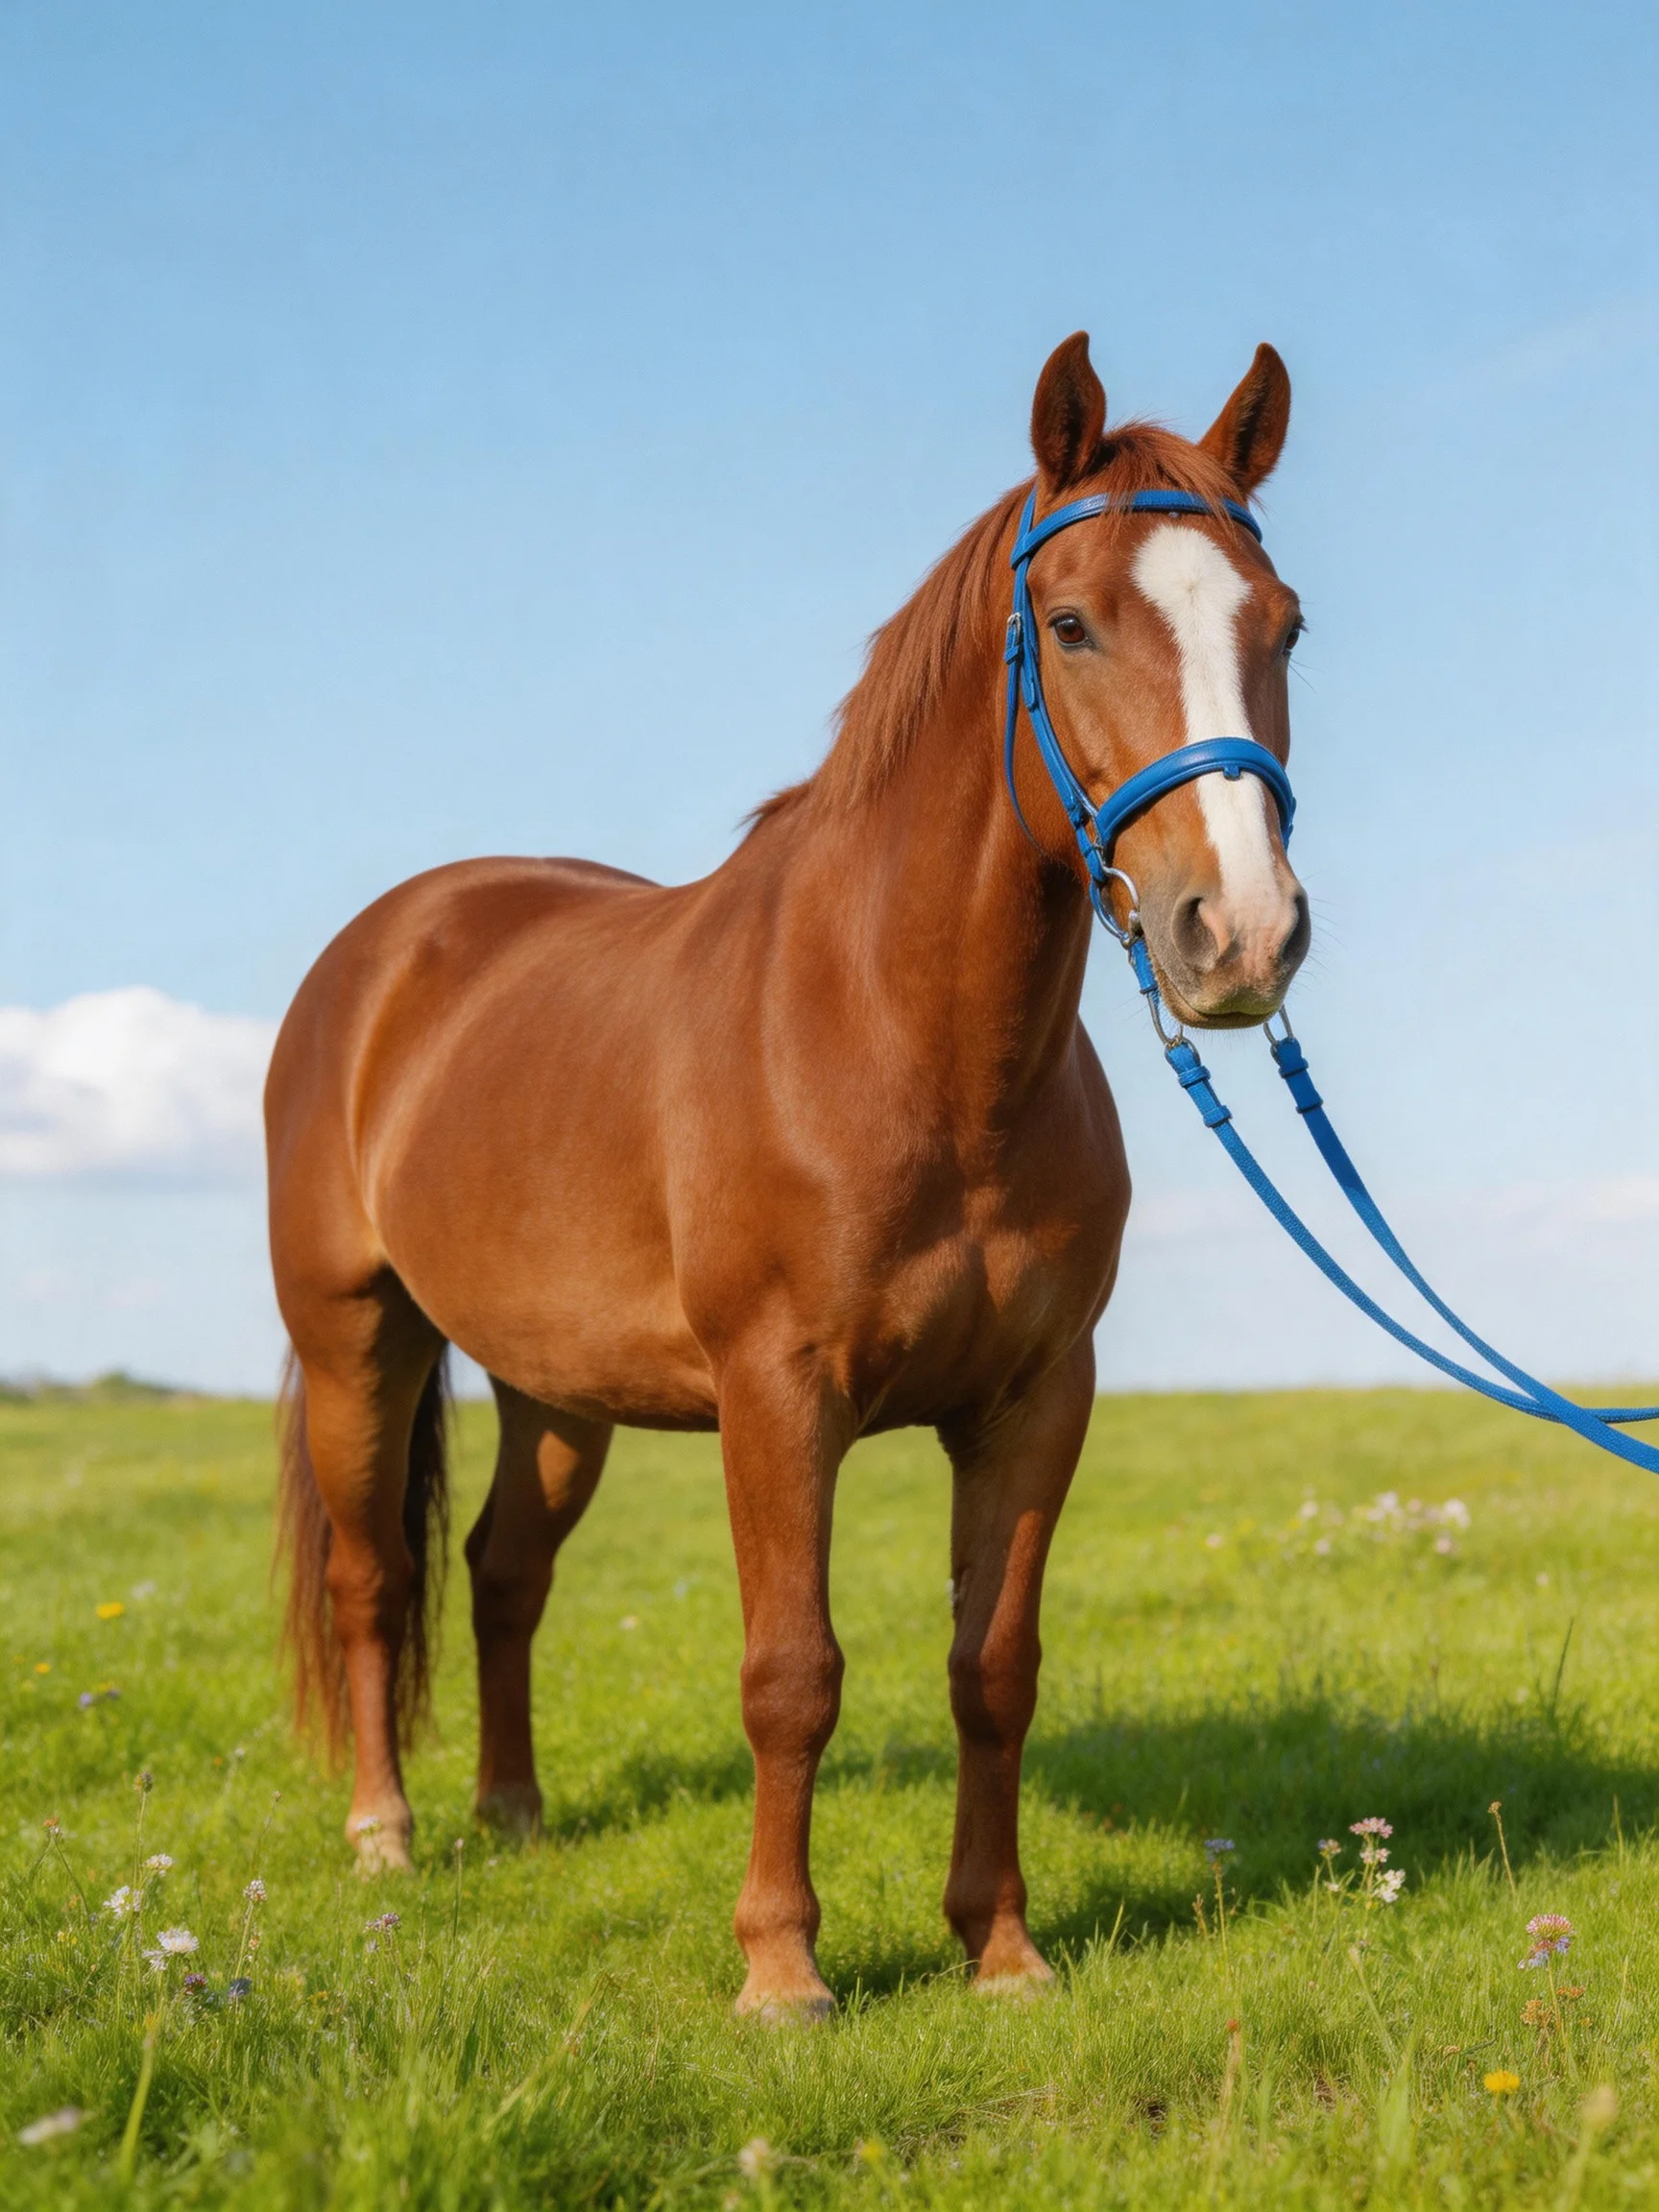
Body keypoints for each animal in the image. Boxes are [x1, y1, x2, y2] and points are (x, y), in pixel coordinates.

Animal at [266, 331, 1309, 2018]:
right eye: (1072, 623)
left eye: (1283, 625)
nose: (1244, 934)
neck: (902, 1038)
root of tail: (387, 948)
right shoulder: (777, 1396)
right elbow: (790, 1674)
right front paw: (781, 1971)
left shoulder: (1035, 1400)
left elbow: (992, 1668)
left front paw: (1001, 1949)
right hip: (360, 1340)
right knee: (374, 1580)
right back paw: (387, 1839)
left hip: (556, 1391)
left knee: (500, 1572)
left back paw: (516, 1817)